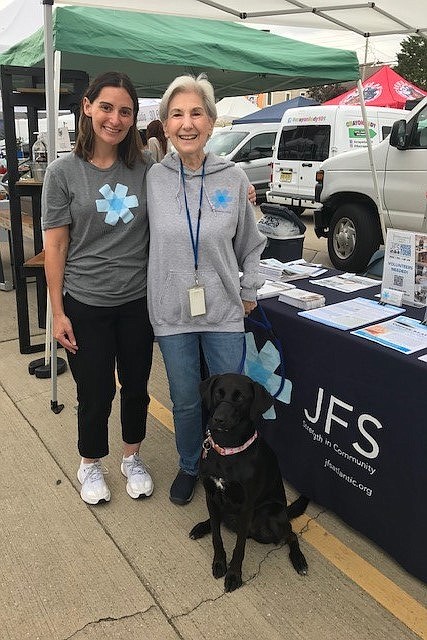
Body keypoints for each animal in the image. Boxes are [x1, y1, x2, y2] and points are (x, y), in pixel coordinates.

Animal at [191, 372, 308, 592]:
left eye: (240, 398)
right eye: (218, 393)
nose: (218, 419)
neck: (227, 450)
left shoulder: (246, 507)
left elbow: (239, 547)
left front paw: (234, 575)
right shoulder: (211, 495)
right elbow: (217, 536)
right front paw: (219, 562)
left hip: (271, 517)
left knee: (291, 534)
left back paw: (299, 560)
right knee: (217, 520)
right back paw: (202, 527)